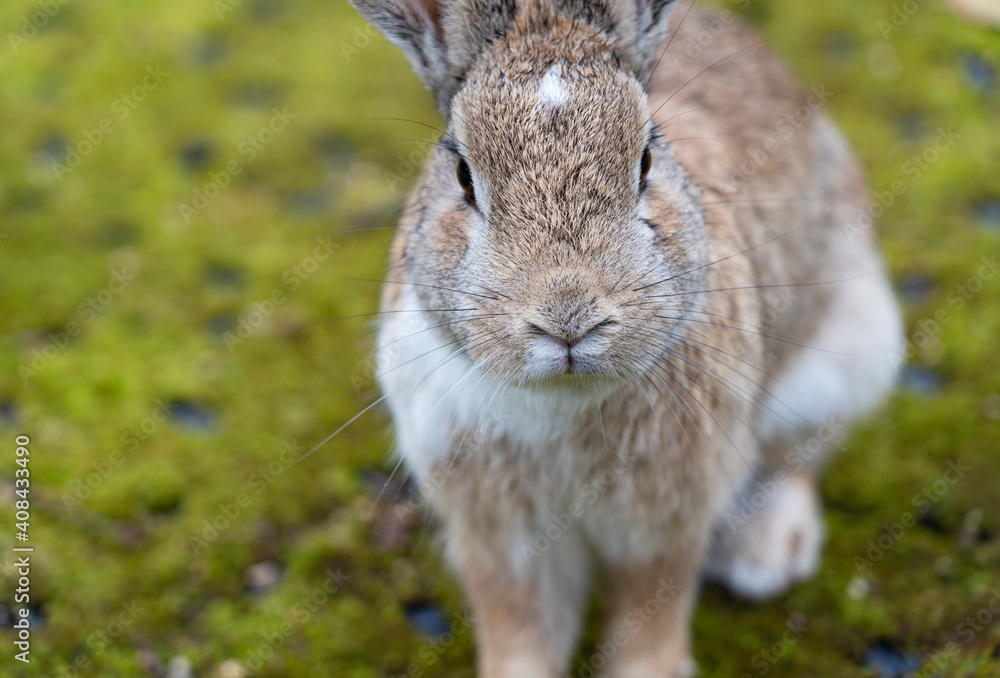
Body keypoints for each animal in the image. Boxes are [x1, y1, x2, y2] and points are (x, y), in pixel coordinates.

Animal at [354, 2, 908, 676]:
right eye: (462, 175)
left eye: (645, 161)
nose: (568, 318)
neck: (562, 402)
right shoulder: (502, 540)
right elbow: (521, 630)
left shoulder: (665, 523)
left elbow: (650, 611)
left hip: (845, 357)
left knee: (797, 456)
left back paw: (766, 555)